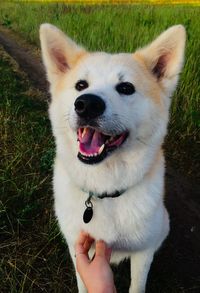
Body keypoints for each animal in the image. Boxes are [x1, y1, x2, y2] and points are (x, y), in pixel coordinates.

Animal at [40, 23, 186, 292]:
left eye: (126, 88)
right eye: (81, 85)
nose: (87, 104)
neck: (105, 190)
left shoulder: (143, 253)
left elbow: (137, 285)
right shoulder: (79, 250)